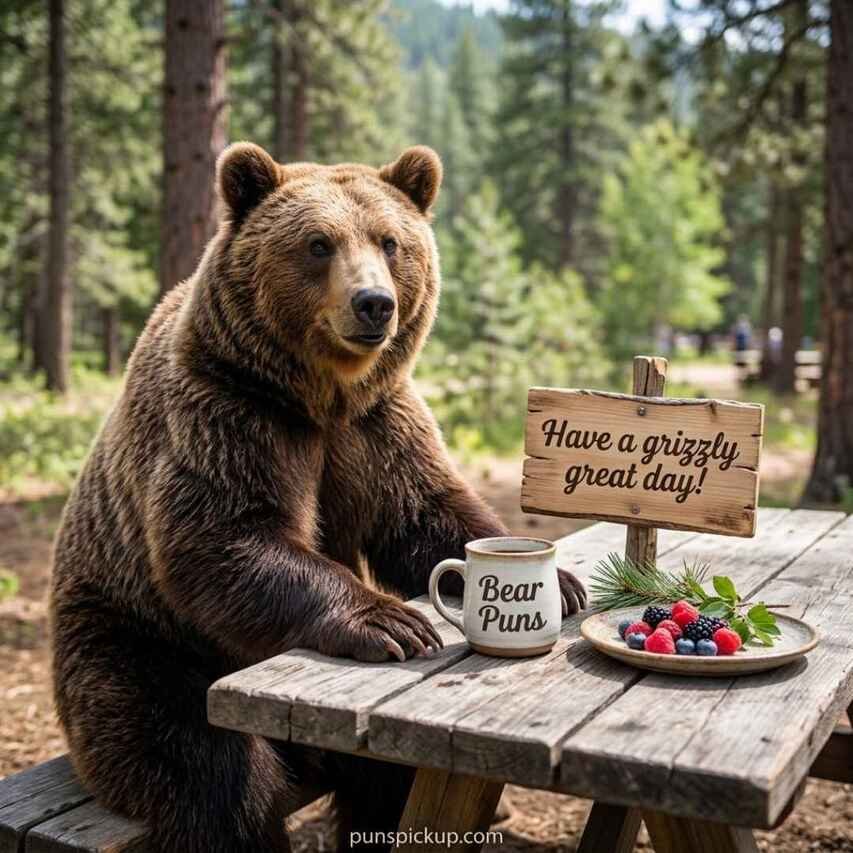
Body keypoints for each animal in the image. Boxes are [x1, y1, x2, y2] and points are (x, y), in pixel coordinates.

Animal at [49, 143, 587, 852]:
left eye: (390, 242)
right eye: (318, 243)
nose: (374, 304)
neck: (320, 394)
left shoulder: (376, 427)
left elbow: (426, 511)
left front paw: (566, 584)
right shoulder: (228, 412)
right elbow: (225, 537)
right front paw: (393, 621)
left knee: (389, 776)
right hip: (129, 640)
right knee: (206, 768)